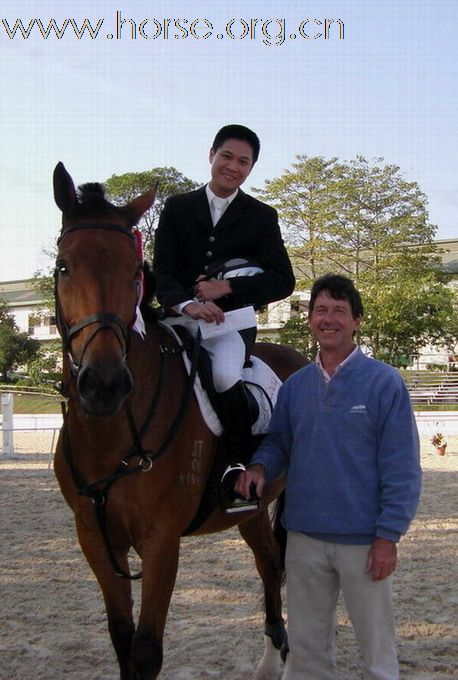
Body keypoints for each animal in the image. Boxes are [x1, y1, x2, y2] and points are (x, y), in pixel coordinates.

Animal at [52, 162, 307, 680]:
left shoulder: (161, 540)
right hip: (251, 508)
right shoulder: (95, 538)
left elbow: (147, 649)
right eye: (63, 266)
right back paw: (270, 660)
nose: (104, 384)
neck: (109, 433)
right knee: (270, 565)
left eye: (134, 272)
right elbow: (122, 640)